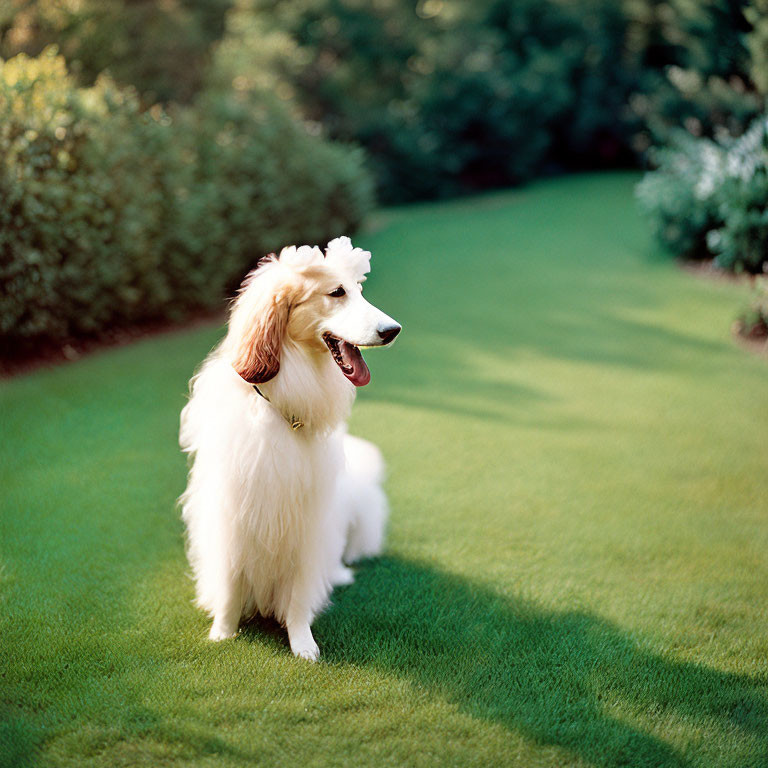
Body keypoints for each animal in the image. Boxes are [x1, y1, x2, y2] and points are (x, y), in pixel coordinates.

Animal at [177, 238, 400, 660]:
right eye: (337, 293)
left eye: (358, 289)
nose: (393, 330)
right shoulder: (233, 517)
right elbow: (230, 586)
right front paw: (223, 633)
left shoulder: (306, 525)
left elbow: (298, 596)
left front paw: (303, 643)